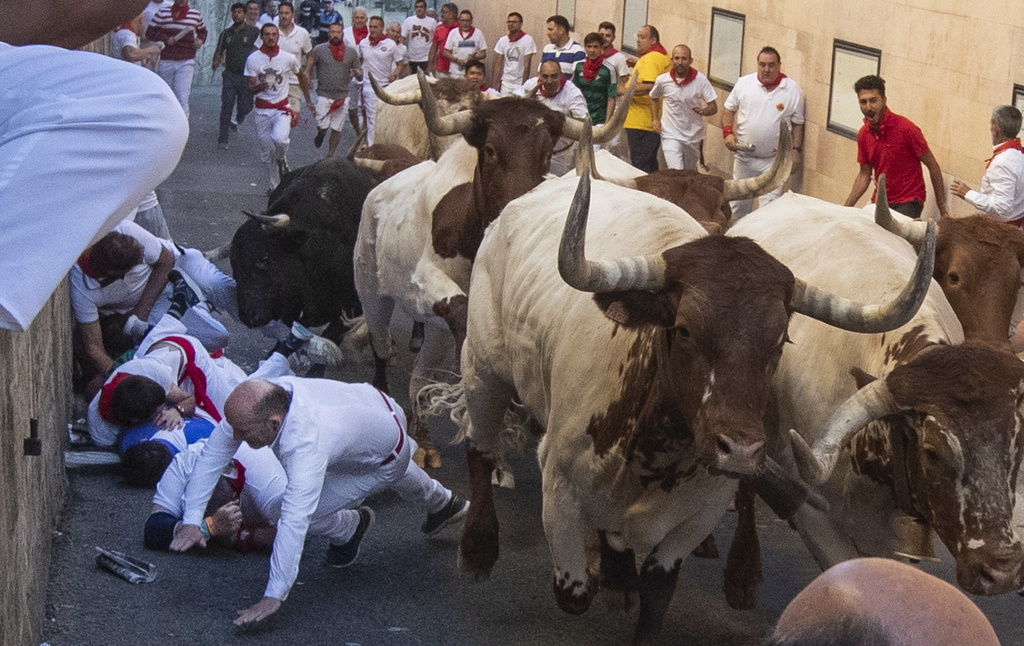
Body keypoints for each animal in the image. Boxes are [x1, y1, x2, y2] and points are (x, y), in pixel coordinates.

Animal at [456, 168, 937, 642]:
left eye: (781, 338)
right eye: (685, 329)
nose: (741, 451)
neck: (652, 455)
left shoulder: (696, 519)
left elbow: (654, 598)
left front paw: (623, 577)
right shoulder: (560, 490)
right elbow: (574, 593)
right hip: (482, 365)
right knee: (479, 444)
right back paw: (478, 548)